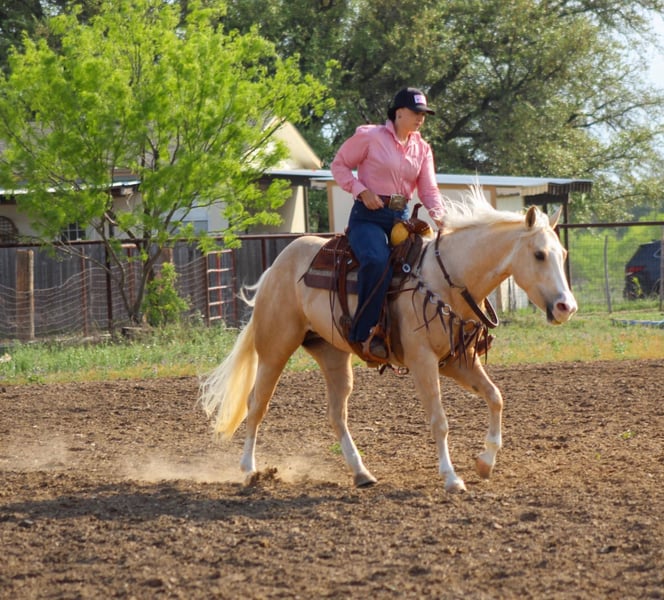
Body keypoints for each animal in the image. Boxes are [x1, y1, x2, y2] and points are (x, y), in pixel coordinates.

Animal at [199, 187, 577, 492]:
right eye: (539, 254)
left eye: (563, 254)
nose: (566, 307)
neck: (444, 279)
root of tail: (276, 266)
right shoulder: (423, 361)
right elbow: (439, 420)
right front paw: (451, 477)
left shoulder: (456, 361)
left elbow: (496, 398)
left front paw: (486, 462)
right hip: (275, 349)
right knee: (257, 404)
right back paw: (249, 470)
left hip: (333, 356)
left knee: (336, 414)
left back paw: (361, 472)